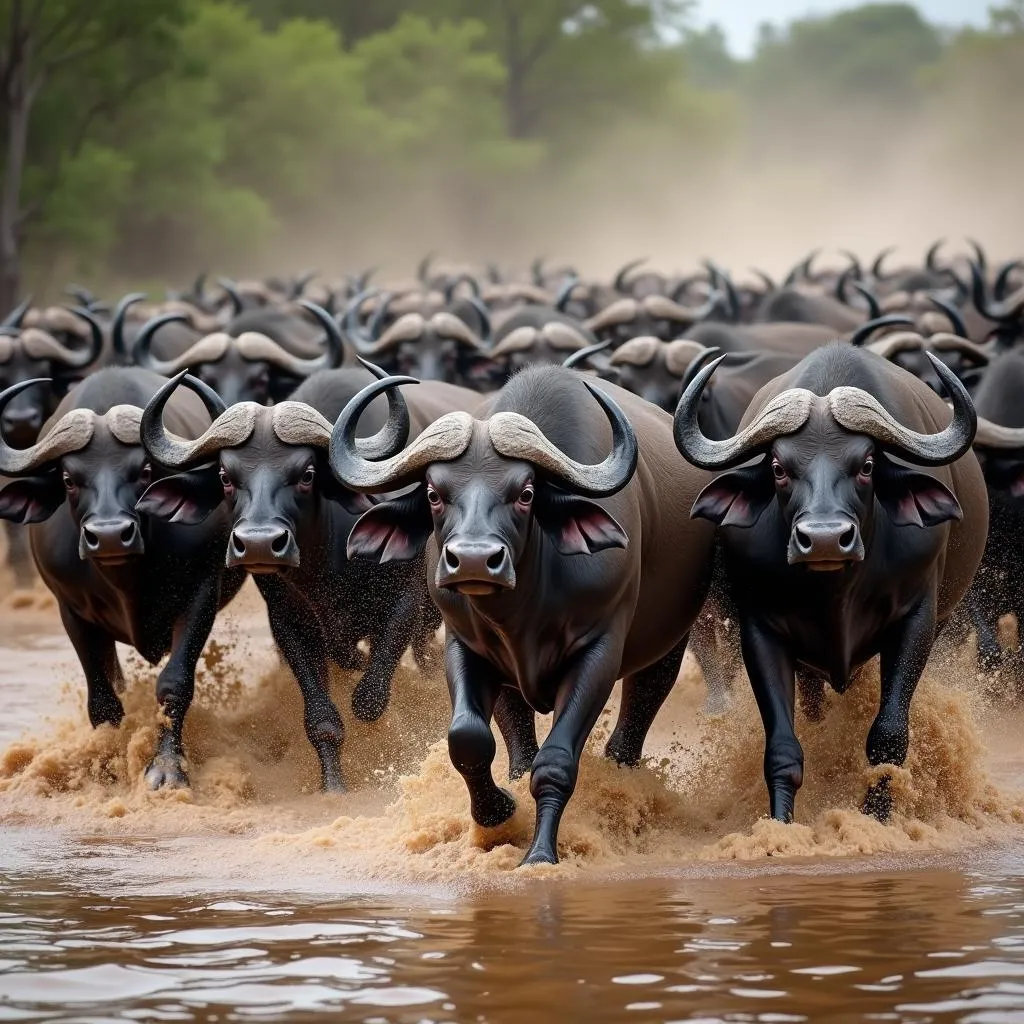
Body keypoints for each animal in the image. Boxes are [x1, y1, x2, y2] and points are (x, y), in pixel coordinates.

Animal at [327, 368, 712, 864]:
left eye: (526, 493)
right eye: (434, 493)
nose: (473, 560)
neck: (526, 610)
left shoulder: (599, 652)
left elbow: (555, 762)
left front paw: (541, 853)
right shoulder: (466, 645)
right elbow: (469, 738)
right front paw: (497, 814)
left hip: (667, 645)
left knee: (633, 723)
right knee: (519, 744)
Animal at [671, 344, 983, 823]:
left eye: (867, 465)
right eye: (778, 468)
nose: (823, 538)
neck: (837, 591)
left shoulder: (918, 618)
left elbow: (889, 735)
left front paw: (877, 816)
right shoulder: (760, 628)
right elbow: (782, 746)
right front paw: (781, 822)